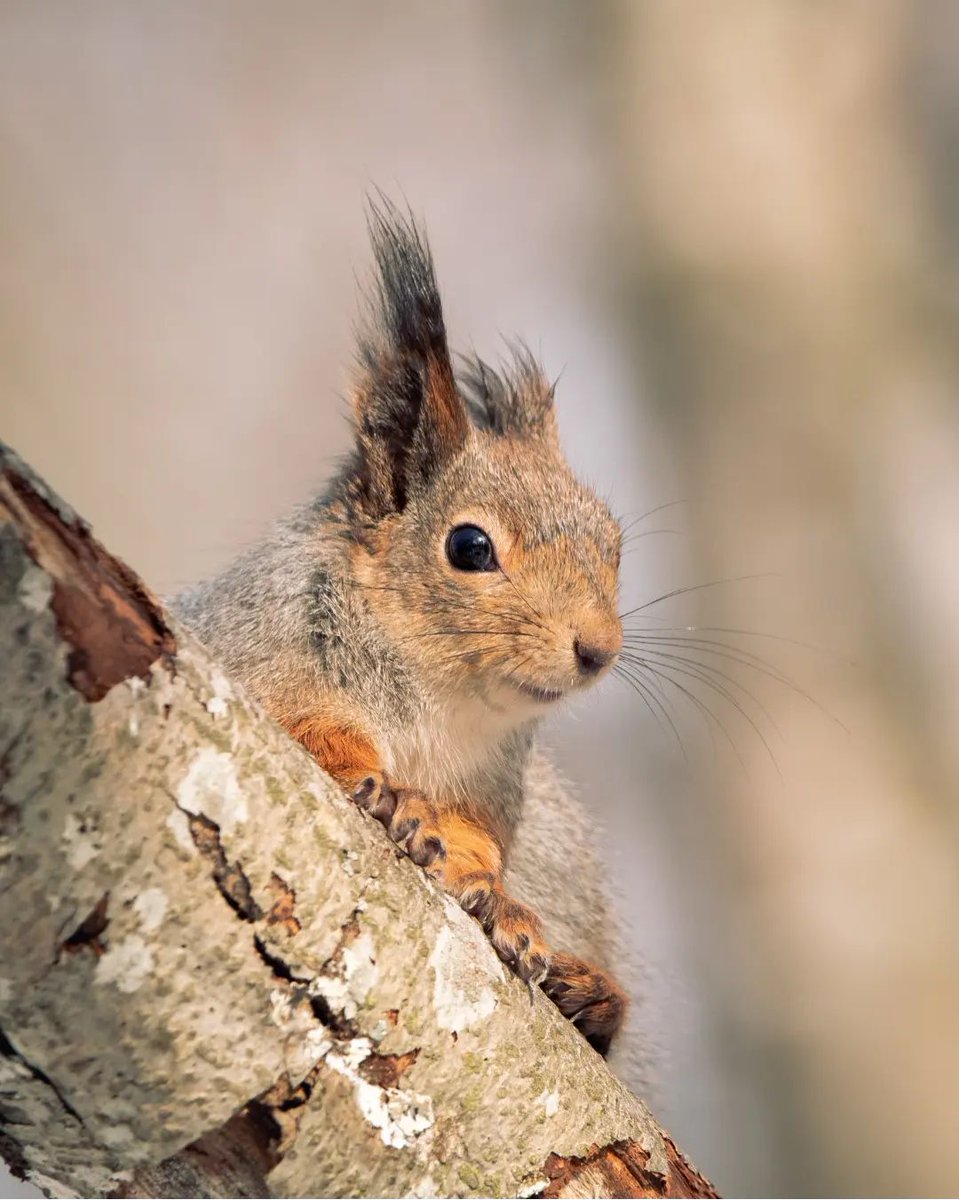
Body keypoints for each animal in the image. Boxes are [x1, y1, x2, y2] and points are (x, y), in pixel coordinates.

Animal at [172, 206, 628, 1060]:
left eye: (614, 543)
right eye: (470, 547)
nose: (598, 650)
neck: (441, 698)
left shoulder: (495, 789)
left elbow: (480, 842)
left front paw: (492, 892)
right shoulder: (251, 651)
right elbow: (305, 730)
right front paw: (388, 798)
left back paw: (589, 995)